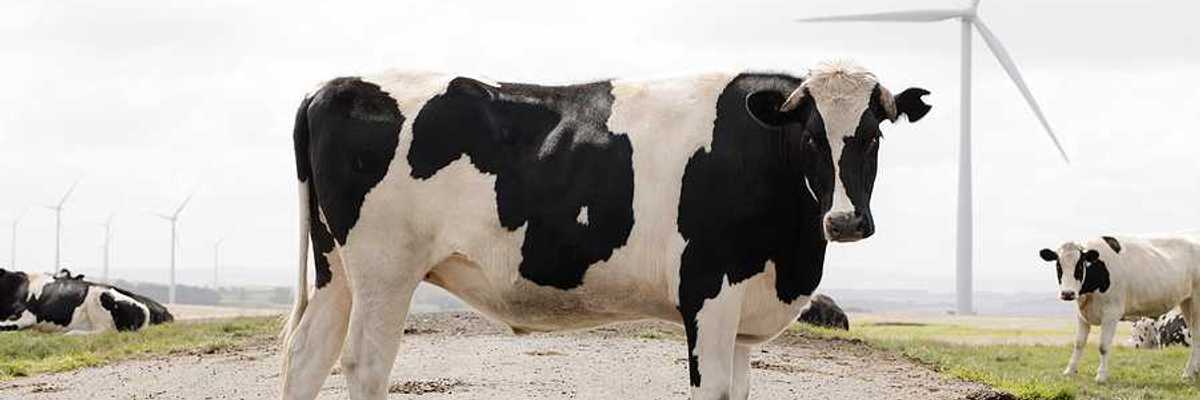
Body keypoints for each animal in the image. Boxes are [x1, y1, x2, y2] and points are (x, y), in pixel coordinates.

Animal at [280, 60, 932, 400]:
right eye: (810, 137)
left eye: (874, 133)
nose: (845, 220)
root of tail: (333, 84)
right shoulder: (708, 292)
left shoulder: (745, 308)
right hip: (385, 268)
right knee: (365, 364)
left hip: (337, 271)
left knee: (308, 357)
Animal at [1039, 233, 1200, 382]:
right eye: (1058, 265)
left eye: (1079, 266)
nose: (1068, 293)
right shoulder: (1082, 315)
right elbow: (1078, 344)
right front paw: (1069, 371)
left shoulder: (1111, 313)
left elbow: (1103, 346)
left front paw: (1101, 375)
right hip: (1186, 302)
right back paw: (1194, 371)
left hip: (1196, 301)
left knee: (1196, 336)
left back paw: (1188, 373)